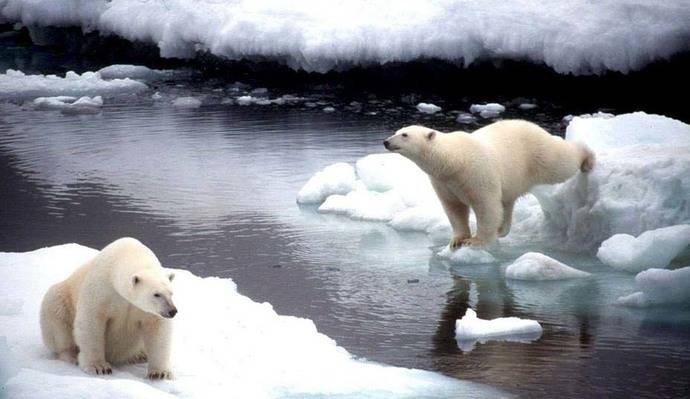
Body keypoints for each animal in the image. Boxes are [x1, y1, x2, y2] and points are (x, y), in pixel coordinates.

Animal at [39, 239, 177, 380]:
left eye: (171, 293)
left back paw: (140, 355)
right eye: (156, 294)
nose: (172, 311)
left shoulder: (147, 311)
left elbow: (157, 329)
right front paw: (99, 367)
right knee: (57, 318)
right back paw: (71, 355)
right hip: (61, 299)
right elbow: (91, 322)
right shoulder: (101, 290)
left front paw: (160, 373)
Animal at [382, 120, 592, 248]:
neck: (454, 160)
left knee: (560, 163)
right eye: (396, 132)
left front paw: (475, 241)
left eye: (405, 135)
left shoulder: (477, 173)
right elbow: (454, 208)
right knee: (507, 202)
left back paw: (587, 158)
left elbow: (486, 206)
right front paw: (457, 240)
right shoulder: (444, 182)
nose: (386, 142)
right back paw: (502, 229)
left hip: (537, 154)